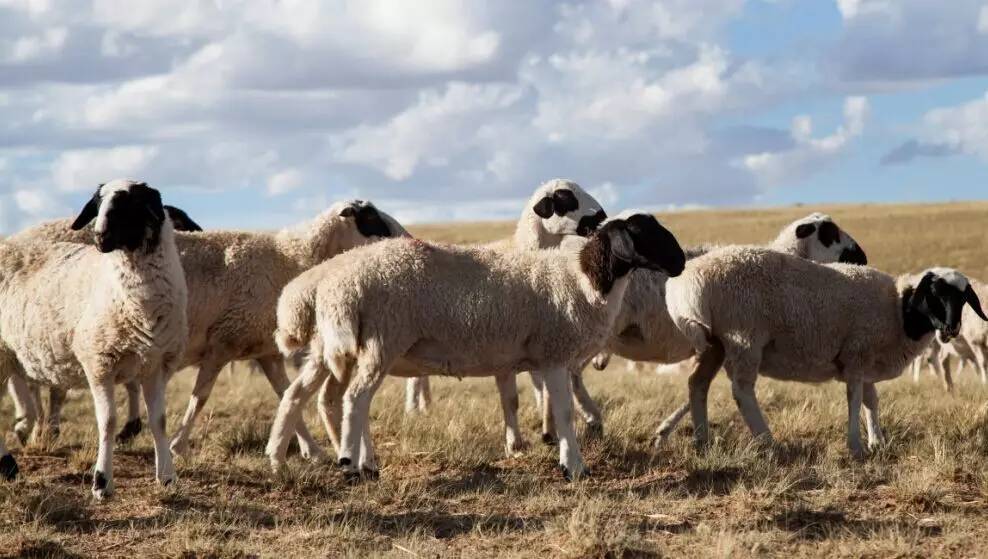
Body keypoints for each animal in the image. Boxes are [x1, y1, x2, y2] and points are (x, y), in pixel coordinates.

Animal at [266, 212, 688, 484]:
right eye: (641, 232)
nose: (681, 263)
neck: (582, 279)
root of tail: (327, 280)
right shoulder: (553, 352)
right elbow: (565, 413)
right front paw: (573, 466)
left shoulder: (537, 357)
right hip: (382, 339)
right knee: (354, 399)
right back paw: (351, 465)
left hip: (334, 346)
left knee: (301, 395)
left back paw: (280, 459)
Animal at [664, 249, 988, 460]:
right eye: (934, 293)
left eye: (962, 298)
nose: (952, 329)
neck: (898, 312)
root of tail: (689, 282)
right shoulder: (856, 355)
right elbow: (855, 401)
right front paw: (856, 445)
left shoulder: (864, 361)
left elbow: (872, 401)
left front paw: (877, 441)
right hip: (744, 336)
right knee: (742, 391)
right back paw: (769, 442)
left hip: (716, 343)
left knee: (698, 384)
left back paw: (702, 441)